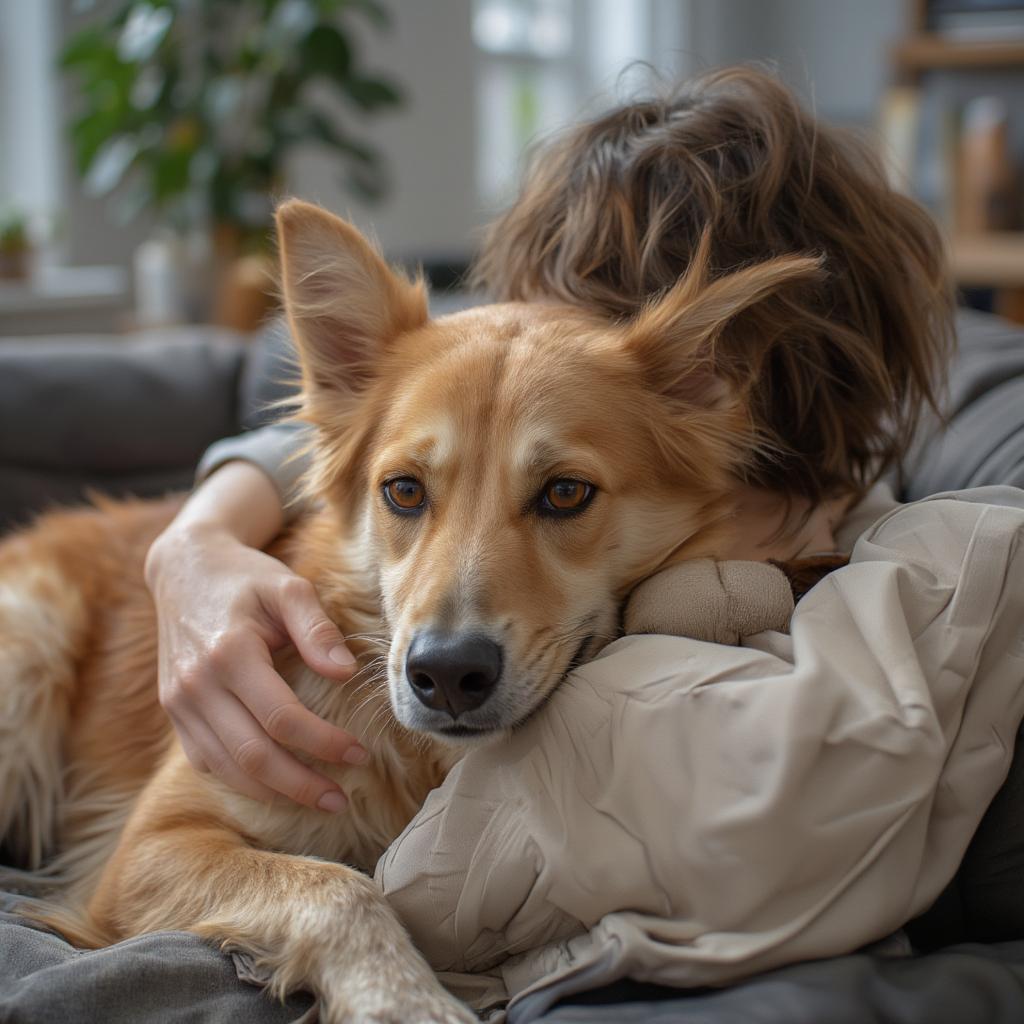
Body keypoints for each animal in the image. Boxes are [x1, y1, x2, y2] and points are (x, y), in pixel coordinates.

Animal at [0, 201, 819, 1024]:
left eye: (565, 492)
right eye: (403, 490)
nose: (446, 674)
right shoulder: (148, 847)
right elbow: (334, 884)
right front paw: (402, 999)